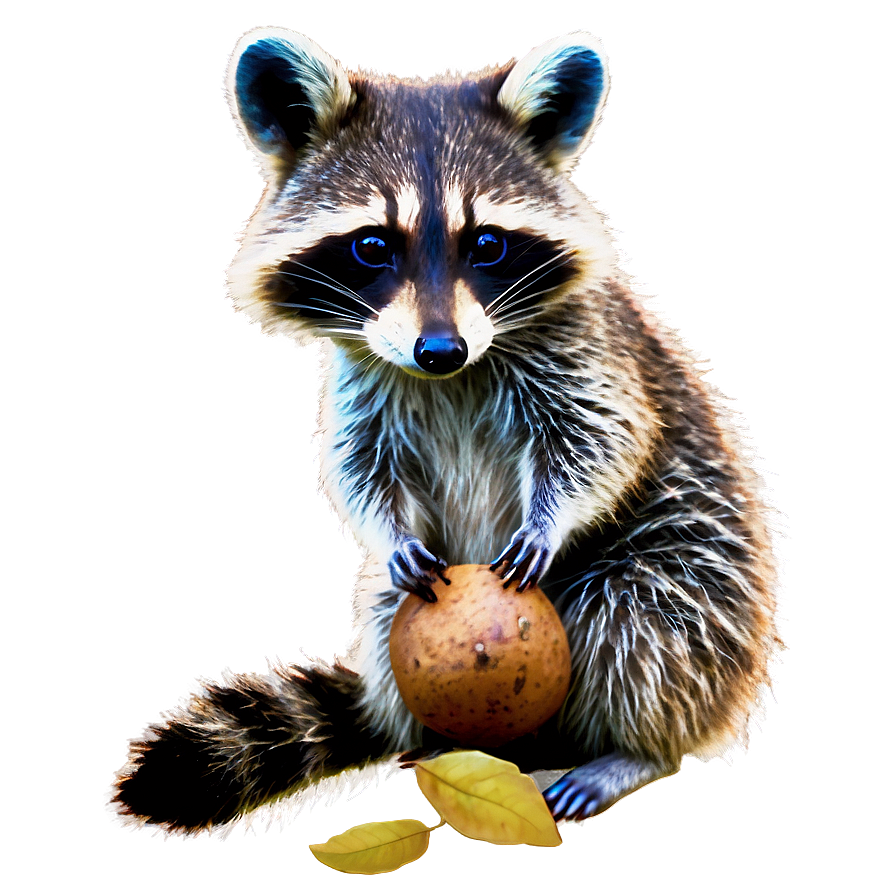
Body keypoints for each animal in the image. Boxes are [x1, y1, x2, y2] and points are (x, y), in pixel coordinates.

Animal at [111, 27, 783, 834]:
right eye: (372, 245)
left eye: (487, 244)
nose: (441, 350)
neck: (447, 375)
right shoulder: (369, 379)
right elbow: (360, 466)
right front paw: (389, 529)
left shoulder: (585, 350)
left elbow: (603, 437)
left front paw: (551, 517)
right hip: (403, 618)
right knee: (384, 612)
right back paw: (446, 741)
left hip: (698, 577)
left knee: (646, 617)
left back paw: (635, 750)